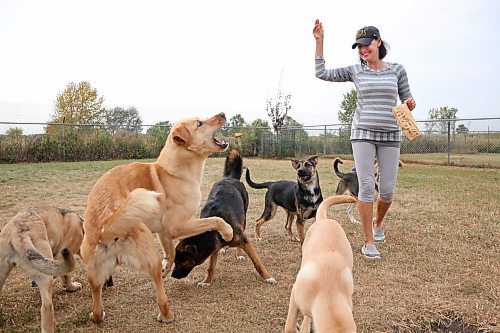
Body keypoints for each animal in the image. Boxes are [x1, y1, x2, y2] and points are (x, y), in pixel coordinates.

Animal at [80, 113, 234, 322]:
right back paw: (167, 315)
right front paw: (228, 232)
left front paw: (166, 267)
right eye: (200, 123)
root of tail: (105, 226)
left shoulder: (163, 232)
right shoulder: (176, 226)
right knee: (160, 294)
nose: (223, 114)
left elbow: (170, 254)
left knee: (96, 305)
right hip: (148, 255)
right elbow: (215, 220)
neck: (173, 172)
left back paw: (97, 315)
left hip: (94, 274)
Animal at [170, 149, 276, 286]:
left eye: (180, 261)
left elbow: (257, 262)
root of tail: (230, 178)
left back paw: (239, 254)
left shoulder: (244, 240)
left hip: (243, 218)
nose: (172, 275)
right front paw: (207, 281)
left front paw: (268, 277)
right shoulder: (214, 246)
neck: (213, 229)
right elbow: (211, 266)